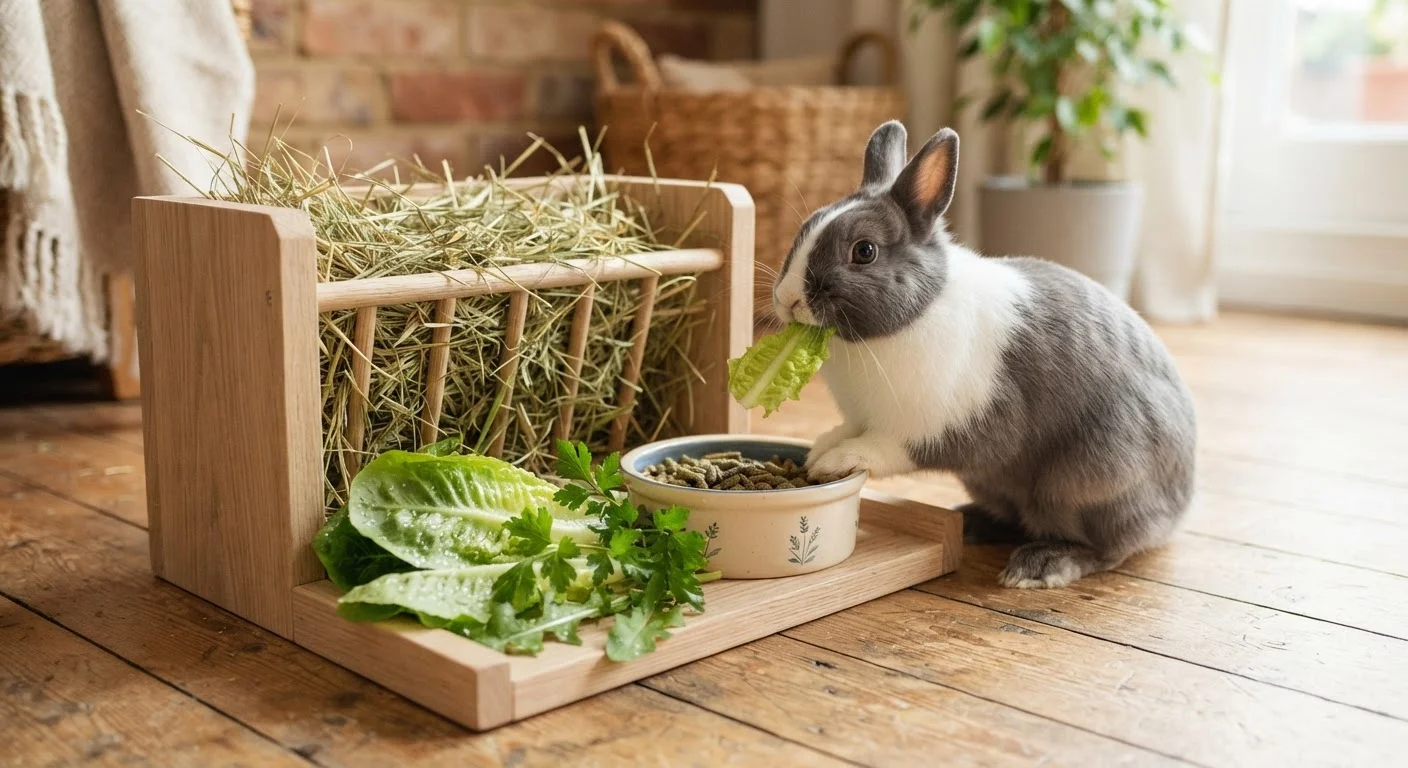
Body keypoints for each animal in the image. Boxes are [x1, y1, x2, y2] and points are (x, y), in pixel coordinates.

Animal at [772, 120, 1196, 588]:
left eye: (864, 251)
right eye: (805, 227)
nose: (787, 299)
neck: (921, 310)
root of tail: (1178, 508)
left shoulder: (949, 425)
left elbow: (891, 448)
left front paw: (836, 461)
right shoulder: (861, 416)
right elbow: (846, 429)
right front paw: (819, 448)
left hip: (1086, 482)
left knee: (1107, 549)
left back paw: (1041, 566)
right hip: (995, 483)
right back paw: (973, 523)